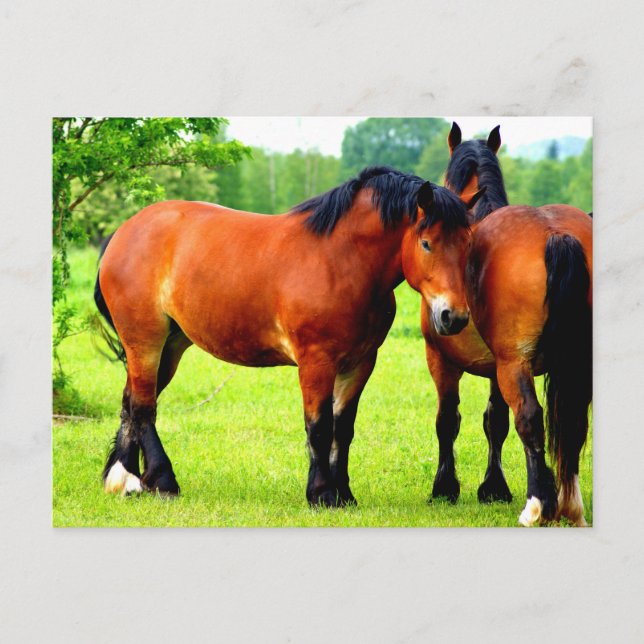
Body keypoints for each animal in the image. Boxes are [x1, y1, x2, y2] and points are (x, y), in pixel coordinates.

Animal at [94, 166, 481, 508]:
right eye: (427, 243)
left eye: (467, 244)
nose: (454, 316)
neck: (341, 261)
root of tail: (123, 232)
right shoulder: (316, 362)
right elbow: (320, 427)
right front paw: (322, 494)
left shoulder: (359, 363)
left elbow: (343, 428)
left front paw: (345, 493)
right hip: (145, 340)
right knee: (143, 406)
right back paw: (159, 481)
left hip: (170, 346)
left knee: (131, 402)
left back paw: (123, 478)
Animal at [420, 122, 592, 526]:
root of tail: (555, 232)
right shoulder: (495, 366)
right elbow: (494, 421)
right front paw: (494, 488)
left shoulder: (442, 359)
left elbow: (447, 419)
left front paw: (444, 488)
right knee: (574, 422)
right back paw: (571, 505)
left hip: (515, 364)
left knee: (530, 418)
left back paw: (538, 506)